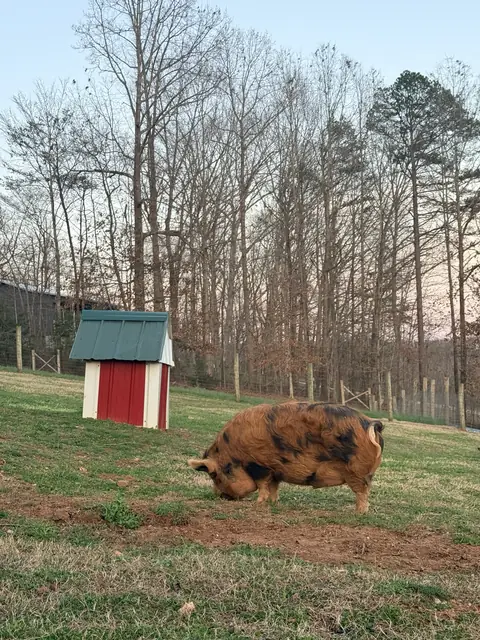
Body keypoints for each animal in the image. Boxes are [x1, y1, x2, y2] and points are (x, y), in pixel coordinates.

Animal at [188, 401, 384, 514]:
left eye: (214, 476)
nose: (220, 496)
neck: (234, 454)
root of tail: (370, 423)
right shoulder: (275, 470)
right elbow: (273, 487)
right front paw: (273, 503)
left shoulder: (259, 466)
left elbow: (262, 486)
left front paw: (258, 504)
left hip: (356, 471)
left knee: (362, 493)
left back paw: (358, 513)